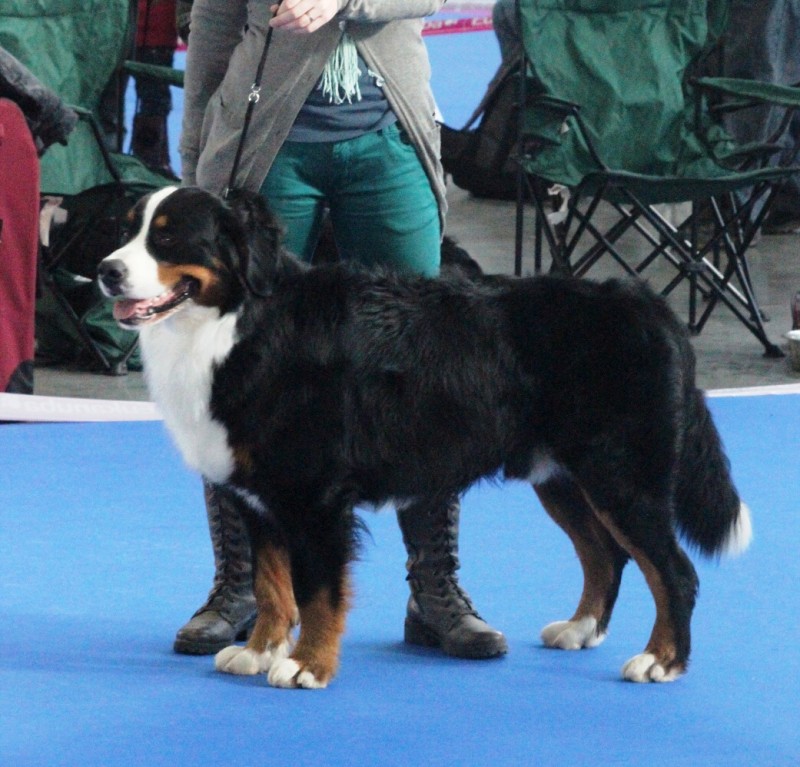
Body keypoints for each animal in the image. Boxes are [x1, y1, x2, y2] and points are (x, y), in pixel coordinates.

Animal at [98, 186, 752, 688]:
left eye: (169, 238)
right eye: (127, 230)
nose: (106, 271)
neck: (239, 324)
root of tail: (647, 303)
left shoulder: (314, 496)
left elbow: (317, 592)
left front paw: (308, 666)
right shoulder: (259, 494)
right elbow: (271, 583)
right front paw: (259, 651)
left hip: (622, 474)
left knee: (674, 571)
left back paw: (662, 661)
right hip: (564, 476)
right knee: (606, 554)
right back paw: (581, 628)